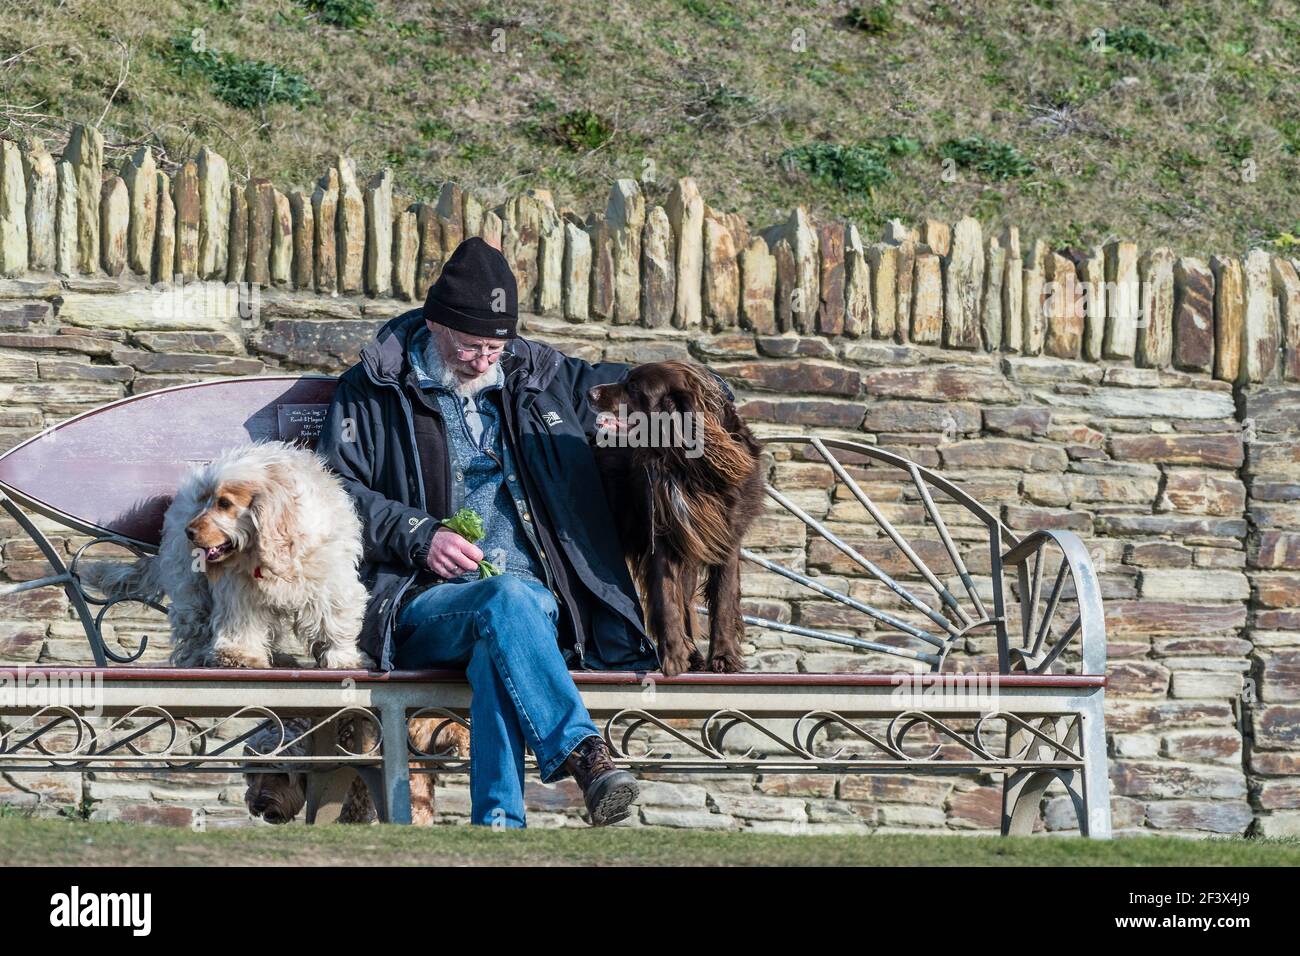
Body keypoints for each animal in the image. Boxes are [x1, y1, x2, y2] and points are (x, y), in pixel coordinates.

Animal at [85, 442, 371, 671]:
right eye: (204, 501)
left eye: (224, 504)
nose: (188, 531)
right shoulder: (238, 589)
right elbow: (241, 622)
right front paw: (239, 656)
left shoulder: (328, 580)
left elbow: (332, 619)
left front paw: (342, 657)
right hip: (192, 588)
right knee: (195, 628)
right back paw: (197, 658)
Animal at [587, 361, 759, 681]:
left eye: (633, 387)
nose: (589, 393)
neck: (686, 464)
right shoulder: (661, 535)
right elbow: (668, 599)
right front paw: (674, 656)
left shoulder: (726, 538)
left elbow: (723, 599)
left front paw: (723, 657)